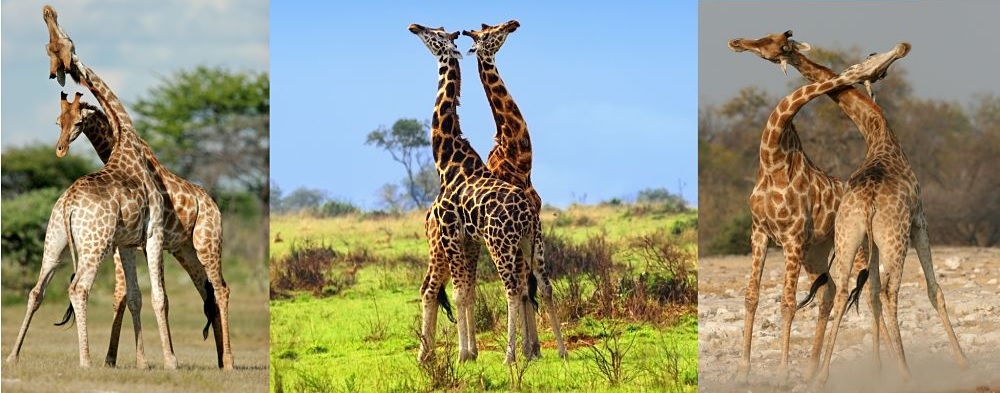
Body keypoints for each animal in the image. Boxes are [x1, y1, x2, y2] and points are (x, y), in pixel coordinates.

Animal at [6, 5, 174, 368]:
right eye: (58, 121)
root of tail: (68, 203)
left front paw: (143, 363)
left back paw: (13, 356)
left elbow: (135, 295)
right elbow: (159, 296)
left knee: (37, 290)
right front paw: (171, 361)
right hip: (94, 244)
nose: (48, 11)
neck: (127, 139)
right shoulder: (154, 232)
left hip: (56, 240)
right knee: (79, 289)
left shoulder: (126, 242)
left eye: (62, 41)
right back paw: (84, 360)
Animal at [55, 91, 234, 368]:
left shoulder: (146, 244)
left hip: (208, 243)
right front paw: (113, 359)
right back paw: (219, 360)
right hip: (185, 250)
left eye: (77, 122)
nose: (61, 149)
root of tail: (212, 202)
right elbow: (125, 297)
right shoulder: (126, 247)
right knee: (209, 292)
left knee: (221, 289)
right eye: (58, 122)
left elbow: (149, 296)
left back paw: (229, 361)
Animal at [410, 23, 568, 362]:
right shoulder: (467, 238)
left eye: (435, 34)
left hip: (496, 243)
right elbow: (467, 291)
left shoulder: (455, 234)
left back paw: (505, 355)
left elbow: (464, 293)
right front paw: (473, 352)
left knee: (510, 288)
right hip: (528, 241)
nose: (414, 26)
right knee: (541, 283)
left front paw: (466, 354)